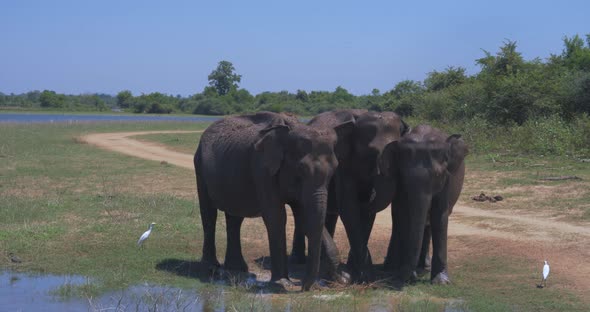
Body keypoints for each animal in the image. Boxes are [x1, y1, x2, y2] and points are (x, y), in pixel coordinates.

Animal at [195, 111, 352, 290]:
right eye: (301, 169)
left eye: (335, 169)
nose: (303, 286)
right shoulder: (262, 167)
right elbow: (276, 216)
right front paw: (283, 283)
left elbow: (305, 217)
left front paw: (343, 279)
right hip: (199, 165)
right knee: (209, 214)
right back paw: (211, 268)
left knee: (235, 218)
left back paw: (237, 268)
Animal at [290, 109, 410, 282]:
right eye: (372, 152)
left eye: (398, 153)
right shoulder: (343, 163)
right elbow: (349, 209)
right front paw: (364, 276)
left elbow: (367, 215)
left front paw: (358, 273)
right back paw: (298, 261)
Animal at [380, 124, 472, 286]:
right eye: (404, 175)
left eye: (437, 175)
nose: (409, 278)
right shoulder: (398, 183)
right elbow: (403, 213)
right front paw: (402, 273)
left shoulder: (447, 179)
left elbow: (439, 215)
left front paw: (441, 282)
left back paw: (424, 267)